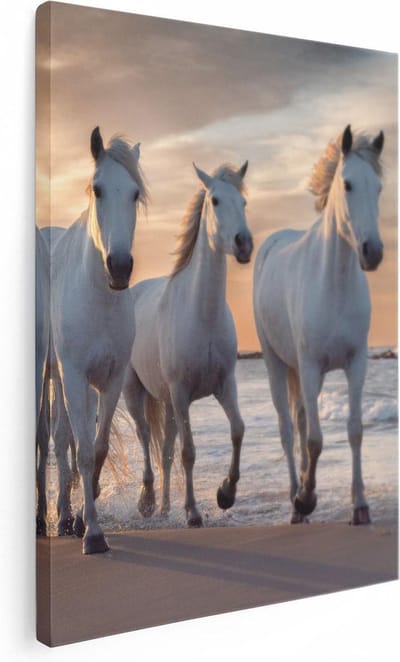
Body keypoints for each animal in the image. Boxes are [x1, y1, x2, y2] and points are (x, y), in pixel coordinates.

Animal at [123, 161, 253, 527]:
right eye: (216, 200)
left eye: (244, 202)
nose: (244, 244)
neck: (202, 315)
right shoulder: (181, 394)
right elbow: (189, 452)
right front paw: (193, 512)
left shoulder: (225, 385)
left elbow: (238, 430)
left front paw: (226, 493)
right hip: (136, 393)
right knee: (144, 438)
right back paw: (148, 502)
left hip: (167, 404)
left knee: (165, 452)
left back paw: (166, 507)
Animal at [253, 125, 384, 525]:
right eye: (347, 184)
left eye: (379, 187)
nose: (373, 252)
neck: (334, 285)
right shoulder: (310, 367)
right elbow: (314, 439)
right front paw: (306, 498)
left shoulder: (356, 364)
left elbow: (354, 430)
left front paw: (360, 506)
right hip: (277, 364)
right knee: (287, 428)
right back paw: (296, 500)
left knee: (298, 423)